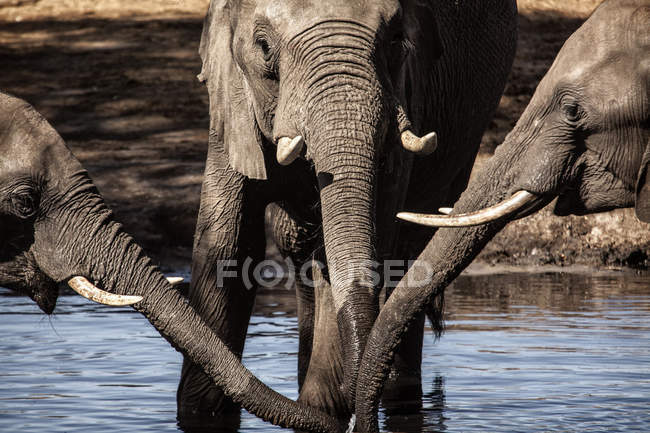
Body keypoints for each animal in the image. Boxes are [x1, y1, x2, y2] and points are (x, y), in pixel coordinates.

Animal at [180, 0, 520, 422]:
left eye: (396, 41)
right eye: (263, 46)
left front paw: (326, 406)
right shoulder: (231, 107)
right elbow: (229, 246)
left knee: (408, 252)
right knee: (296, 244)